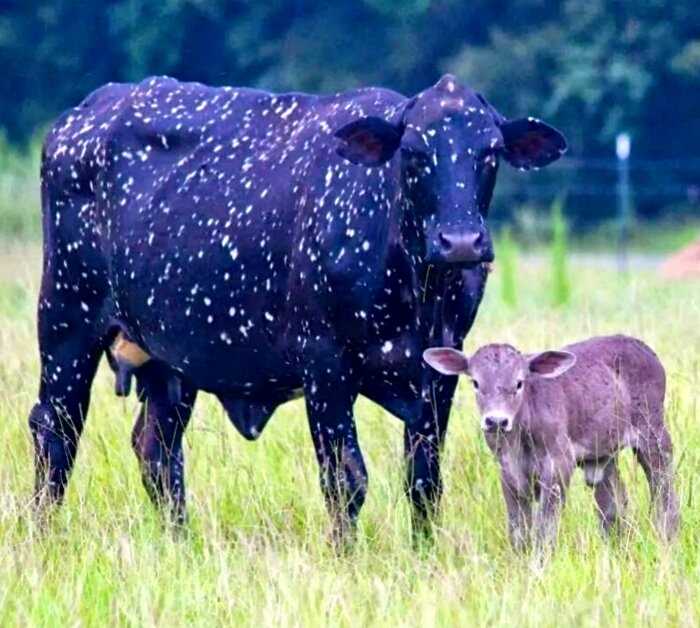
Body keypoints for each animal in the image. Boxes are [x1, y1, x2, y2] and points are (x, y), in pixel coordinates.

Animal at [28, 72, 568, 536]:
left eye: (490, 151)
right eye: (413, 151)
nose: (460, 242)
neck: (416, 288)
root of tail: (84, 112)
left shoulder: (441, 371)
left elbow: (424, 480)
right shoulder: (325, 366)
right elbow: (347, 479)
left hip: (169, 362)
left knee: (157, 452)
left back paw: (180, 541)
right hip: (66, 322)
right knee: (55, 430)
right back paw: (45, 535)